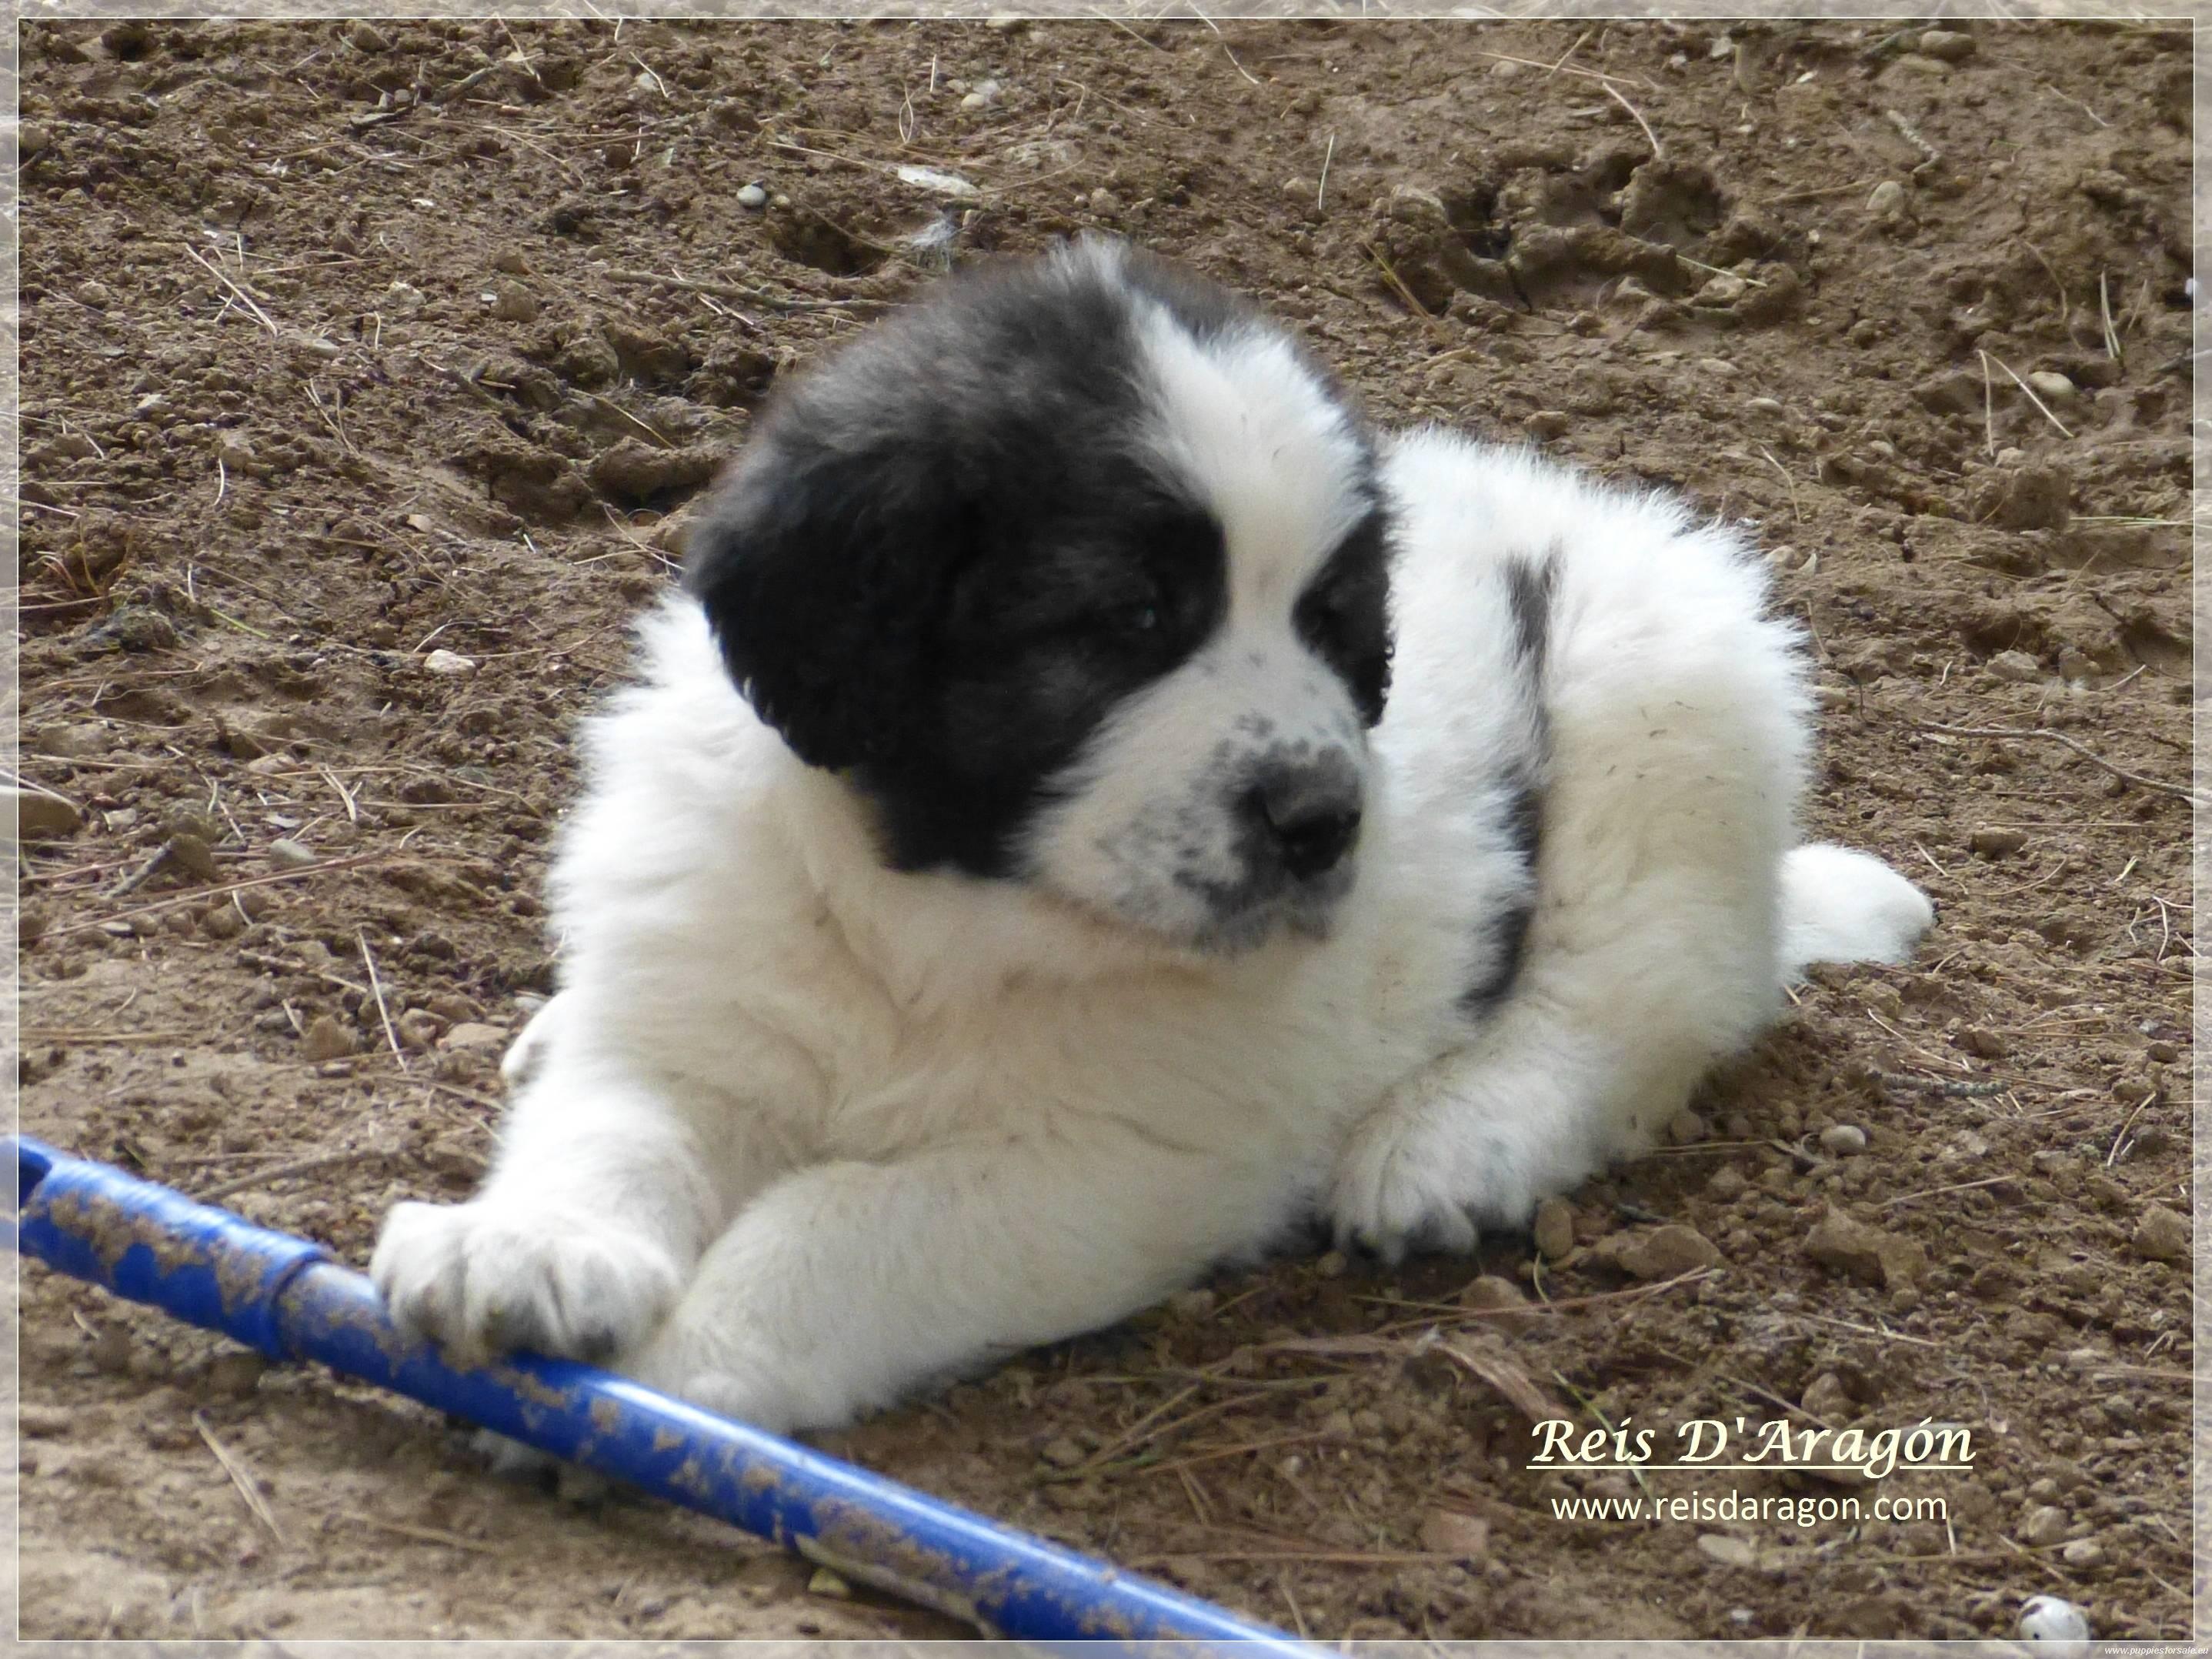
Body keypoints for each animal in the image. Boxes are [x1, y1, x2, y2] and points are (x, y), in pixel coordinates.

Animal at [372, 236, 1929, 1442]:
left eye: (1330, 623)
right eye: (1131, 617)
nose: (1323, 821)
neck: (943, 913)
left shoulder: (1121, 1159)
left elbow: (837, 1231)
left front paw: (672, 1382)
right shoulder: (699, 1004)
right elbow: (616, 1126)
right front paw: (530, 1250)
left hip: (1659, 691)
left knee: (1640, 993)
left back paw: (1453, 1141)